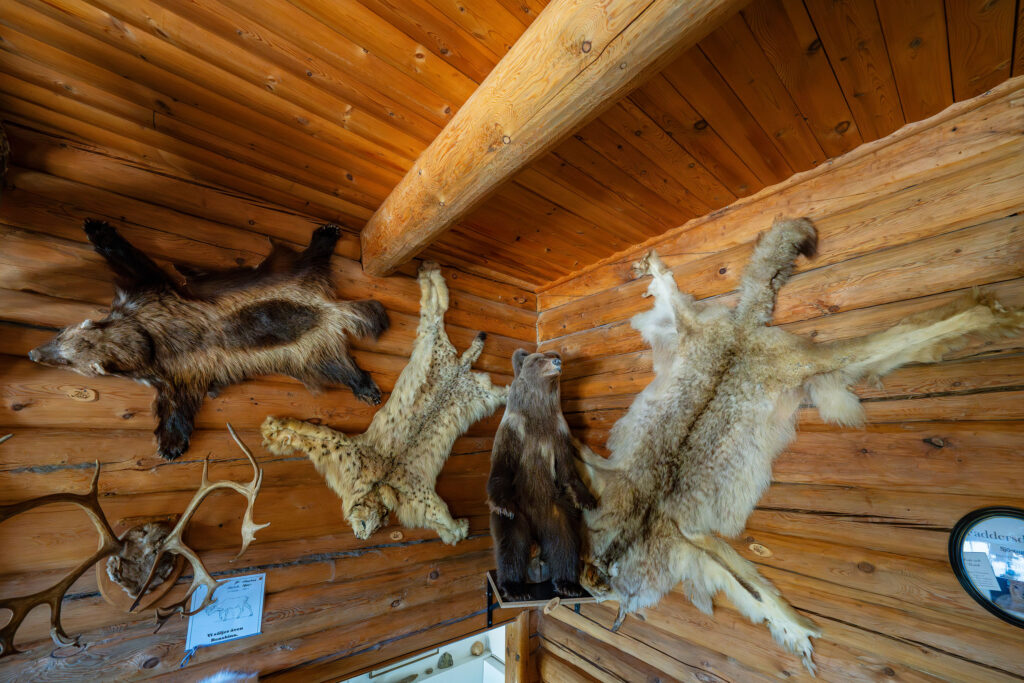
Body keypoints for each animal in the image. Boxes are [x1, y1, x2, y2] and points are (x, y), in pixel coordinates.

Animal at [29, 222, 387, 462]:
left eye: (66, 360)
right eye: (59, 339)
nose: (33, 353)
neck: (148, 338)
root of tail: (331, 309)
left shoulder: (150, 295)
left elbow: (135, 263)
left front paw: (100, 230)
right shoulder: (179, 371)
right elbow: (179, 404)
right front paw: (172, 443)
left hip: (294, 286)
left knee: (312, 259)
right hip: (311, 350)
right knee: (340, 364)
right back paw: (365, 386)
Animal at [260, 262, 507, 544]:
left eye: (375, 526)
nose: (361, 538)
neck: (380, 481)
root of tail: (459, 369)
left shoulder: (411, 491)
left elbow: (441, 514)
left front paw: (458, 528)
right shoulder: (348, 452)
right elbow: (316, 432)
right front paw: (275, 429)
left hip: (476, 389)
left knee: (501, 388)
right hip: (437, 347)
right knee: (435, 313)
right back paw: (428, 270)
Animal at [489, 350, 598, 602]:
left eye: (555, 354)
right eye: (539, 358)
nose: (557, 361)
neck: (538, 413)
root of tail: (536, 531)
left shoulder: (559, 434)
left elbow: (568, 471)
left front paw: (588, 500)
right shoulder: (513, 431)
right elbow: (501, 468)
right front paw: (502, 506)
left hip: (554, 510)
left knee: (565, 540)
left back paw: (568, 583)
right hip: (520, 508)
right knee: (511, 540)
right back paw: (514, 587)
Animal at [577, 219, 1024, 671]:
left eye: (595, 590)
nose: (590, 585)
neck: (639, 520)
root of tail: (742, 329)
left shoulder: (689, 535)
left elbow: (758, 594)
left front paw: (798, 636)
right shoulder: (638, 499)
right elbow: (754, 592)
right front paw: (796, 636)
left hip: (805, 363)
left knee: (903, 334)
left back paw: (994, 312)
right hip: (728, 341)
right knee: (669, 286)